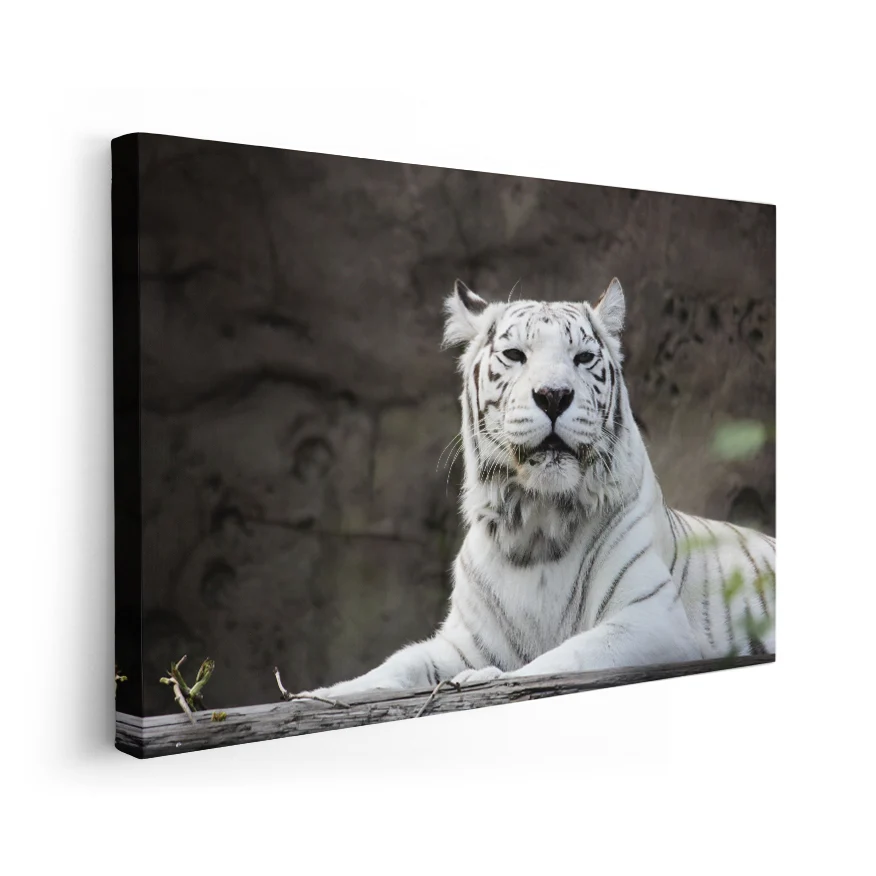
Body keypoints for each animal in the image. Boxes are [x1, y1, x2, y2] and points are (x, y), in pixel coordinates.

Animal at [294, 277, 775, 700]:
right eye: (514, 354)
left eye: (583, 358)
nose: (554, 395)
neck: (536, 522)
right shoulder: (466, 639)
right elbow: (399, 663)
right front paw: (319, 694)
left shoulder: (651, 620)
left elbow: (561, 659)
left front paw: (479, 679)